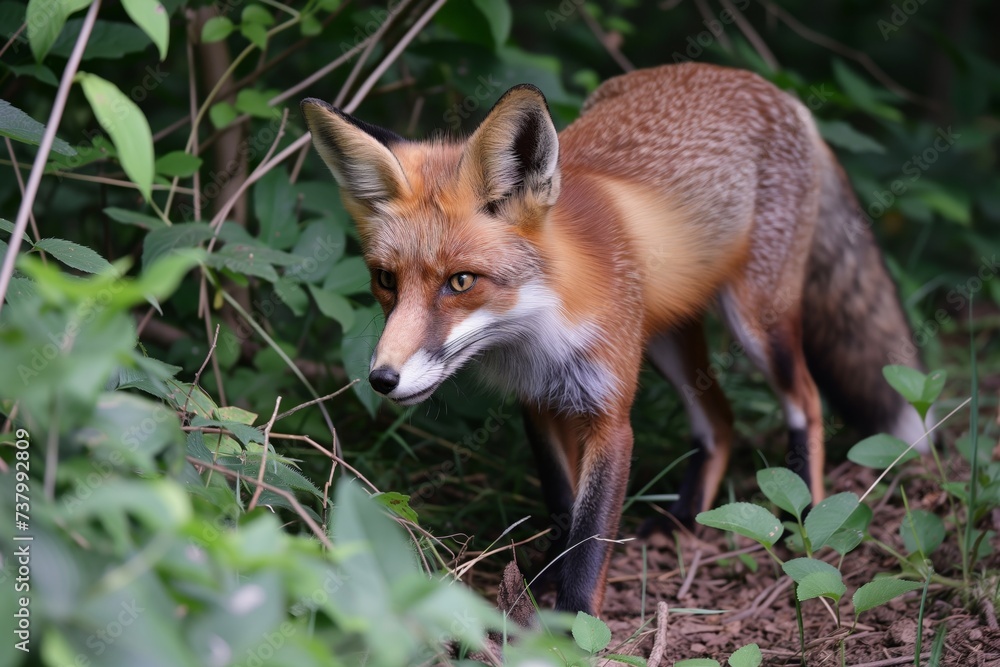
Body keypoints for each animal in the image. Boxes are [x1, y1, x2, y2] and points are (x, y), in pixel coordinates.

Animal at [298, 62, 928, 616]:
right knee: (720, 421)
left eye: (460, 282)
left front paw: (573, 623)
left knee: (807, 401)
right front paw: (538, 586)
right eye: (386, 280)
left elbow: (589, 537)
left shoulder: (609, 417)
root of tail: (773, 89)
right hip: (668, 338)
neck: (538, 331)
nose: (382, 379)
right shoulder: (540, 405)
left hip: (757, 324)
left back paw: (807, 511)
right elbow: (562, 509)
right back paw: (682, 520)